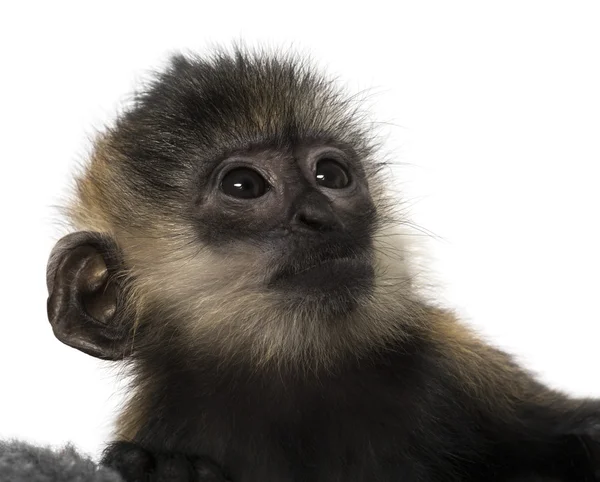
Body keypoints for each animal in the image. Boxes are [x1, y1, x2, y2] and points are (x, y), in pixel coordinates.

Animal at [45, 50, 600, 482]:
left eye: (330, 175)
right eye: (244, 186)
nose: (320, 216)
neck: (290, 378)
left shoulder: (456, 363)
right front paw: (166, 472)